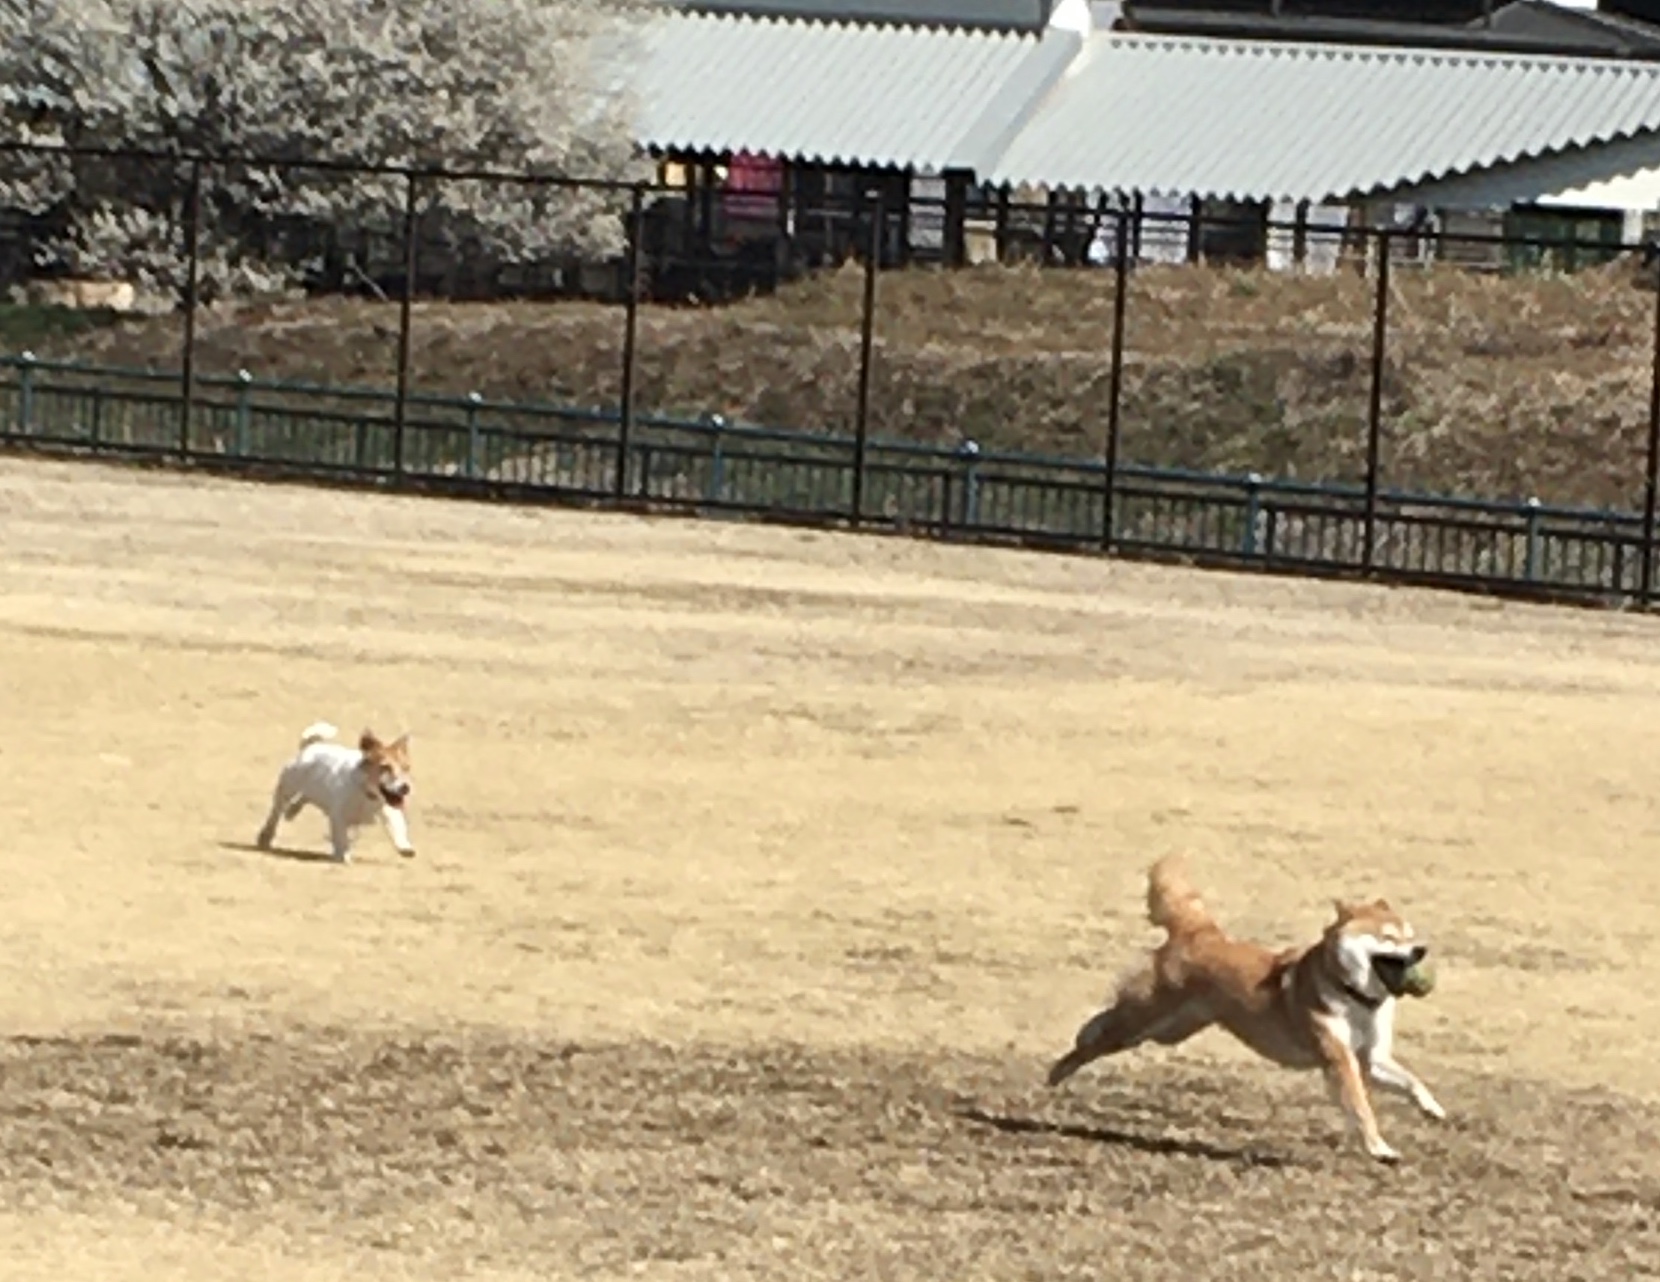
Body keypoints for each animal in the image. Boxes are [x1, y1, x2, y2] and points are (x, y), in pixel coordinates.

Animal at [256, 722, 416, 863]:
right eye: (385, 767)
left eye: (406, 768)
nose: (405, 788)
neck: (366, 793)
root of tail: (311, 747)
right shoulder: (339, 817)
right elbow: (341, 837)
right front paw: (343, 855)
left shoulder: (390, 811)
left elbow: (398, 827)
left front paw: (405, 847)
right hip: (288, 787)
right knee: (276, 811)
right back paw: (267, 834)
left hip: (314, 789)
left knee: (305, 797)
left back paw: (292, 811)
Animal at [1046, 856, 1444, 1163]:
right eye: (1388, 937)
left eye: (1410, 935)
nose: (1421, 950)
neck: (1352, 995)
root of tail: (1200, 931)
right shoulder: (1339, 1060)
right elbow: (1361, 1108)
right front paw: (1380, 1149)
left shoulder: (1371, 1060)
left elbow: (1412, 1082)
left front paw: (1432, 1109)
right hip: (1146, 1020)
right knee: (1098, 1037)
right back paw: (1058, 1071)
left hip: (1168, 1029)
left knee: (1106, 1022)